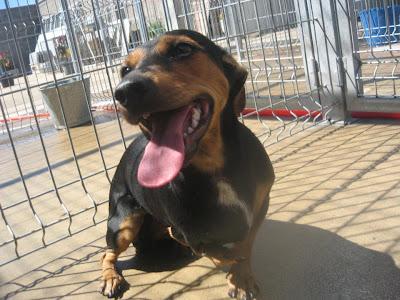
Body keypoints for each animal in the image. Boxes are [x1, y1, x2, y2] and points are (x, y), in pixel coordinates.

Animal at [100, 28, 276, 300]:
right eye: (125, 70)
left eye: (183, 49)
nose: (124, 92)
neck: (216, 167)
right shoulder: (191, 232)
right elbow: (215, 251)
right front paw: (233, 265)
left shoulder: (260, 205)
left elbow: (245, 244)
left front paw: (242, 277)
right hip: (123, 221)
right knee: (107, 253)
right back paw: (111, 278)